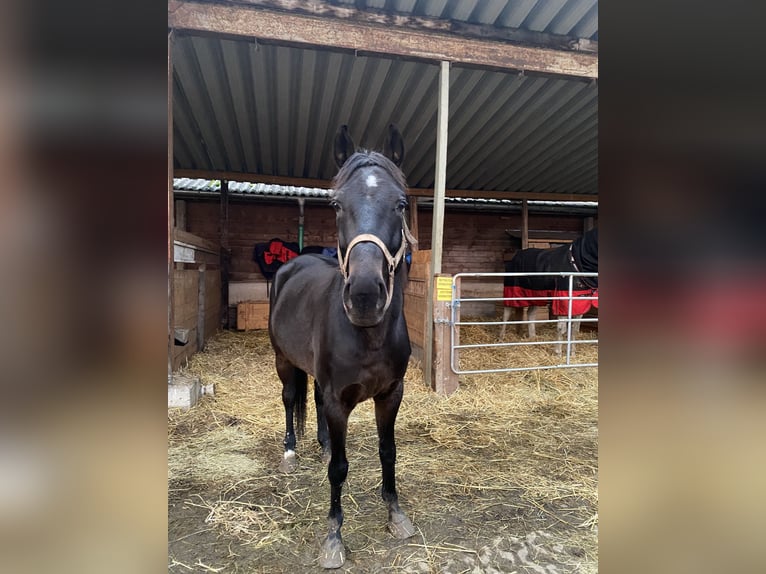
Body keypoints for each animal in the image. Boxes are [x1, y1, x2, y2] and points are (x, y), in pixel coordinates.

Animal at [268, 124, 416, 568]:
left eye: (401, 204)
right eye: (336, 205)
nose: (365, 295)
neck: (368, 335)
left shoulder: (391, 394)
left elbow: (388, 451)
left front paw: (395, 514)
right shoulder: (338, 399)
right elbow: (339, 468)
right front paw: (334, 537)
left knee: (312, 401)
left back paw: (320, 443)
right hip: (283, 361)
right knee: (289, 399)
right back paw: (291, 451)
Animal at [500, 228, 604, 356]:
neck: (576, 262)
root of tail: (515, 256)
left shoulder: (580, 300)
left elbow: (574, 329)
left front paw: (572, 353)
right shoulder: (562, 300)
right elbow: (562, 328)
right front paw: (558, 353)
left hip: (536, 295)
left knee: (530, 314)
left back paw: (533, 337)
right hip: (512, 291)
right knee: (507, 312)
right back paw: (501, 338)